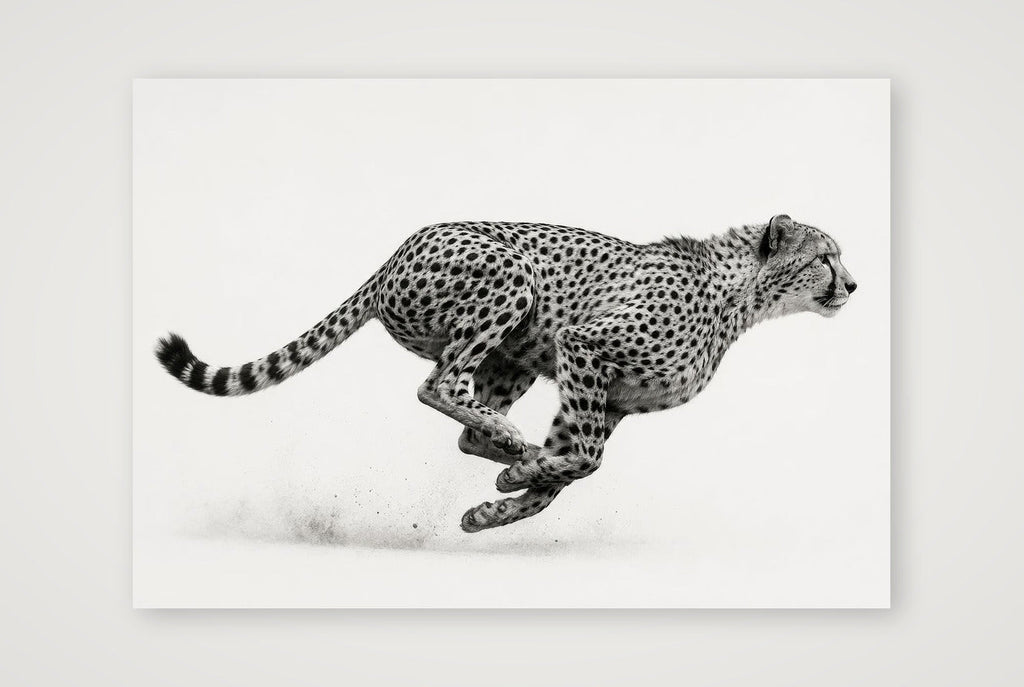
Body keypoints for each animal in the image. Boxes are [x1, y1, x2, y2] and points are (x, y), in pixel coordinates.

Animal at [156, 214, 857, 533]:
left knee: (466, 424)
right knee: (437, 385)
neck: (740, 295)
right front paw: (517, 478)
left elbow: (573, 468)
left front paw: (495, 507)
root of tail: (396, 253)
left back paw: (505, 443)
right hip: (513, 283)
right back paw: (510, 440)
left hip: (516, 356)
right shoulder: (585, 345)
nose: (852, 284)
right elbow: (585, 460)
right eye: (825, 257)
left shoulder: (613, 400)